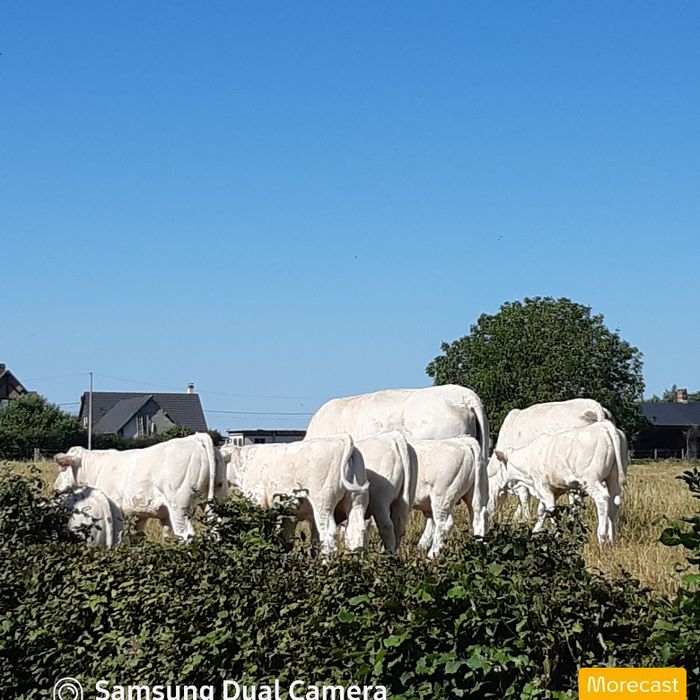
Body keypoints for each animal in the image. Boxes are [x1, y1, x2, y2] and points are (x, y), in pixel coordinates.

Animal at [54, 433, 226, 542]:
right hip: (214, 501)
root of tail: (196, 438)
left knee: (185, 534)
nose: (55, 488)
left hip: (180, 505)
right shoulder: (143, 514)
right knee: (217, 529)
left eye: (62, 468)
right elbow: (139, 536)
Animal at [220, 433, 369, 556]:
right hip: (356, 501)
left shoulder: (258, 501)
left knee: (328, 534)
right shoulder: (289, 514)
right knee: (356, 530)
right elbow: (286, 539)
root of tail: (341, 439)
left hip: (323, 503)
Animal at [490, 420, 627, 543]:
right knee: (615, 501)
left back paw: (602, 538)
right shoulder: (554, 490)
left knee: (602, 499)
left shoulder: (543, 487)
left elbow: (551, 511)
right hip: (613, 478)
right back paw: (612, 539)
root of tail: (605, 426)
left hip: (591, 479)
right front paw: (535, 532)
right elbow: (541, 510)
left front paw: (556, 535)